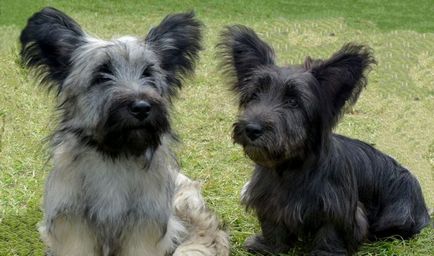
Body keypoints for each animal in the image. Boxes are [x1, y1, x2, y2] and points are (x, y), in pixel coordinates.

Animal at [20, 6, 229, 256]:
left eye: (148, 73)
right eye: (101, 75)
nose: (141, 107)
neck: (116, 155)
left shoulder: (144, 226)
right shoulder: (74, 223)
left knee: (207, 231)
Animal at [219, 25, 428, 255]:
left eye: (293, 102)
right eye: (255, 95)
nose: (252, 129)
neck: (290, 168)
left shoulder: (337, 211)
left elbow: (330, 233)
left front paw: (325, 252)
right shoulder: (269, 200)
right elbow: (273, 225)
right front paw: (268, 246)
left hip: (397, 214)